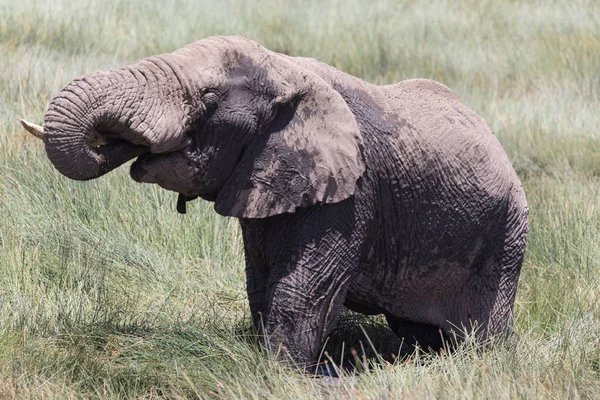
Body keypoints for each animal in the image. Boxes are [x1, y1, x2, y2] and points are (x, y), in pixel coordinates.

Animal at [22, 36, 528, 368]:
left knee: (482, 330)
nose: (118, 142)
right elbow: (259, 283)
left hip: (508, 234)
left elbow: (299, 290)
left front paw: (279, 374)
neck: (283, 67)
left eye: (207, 98)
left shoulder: (350, 196)